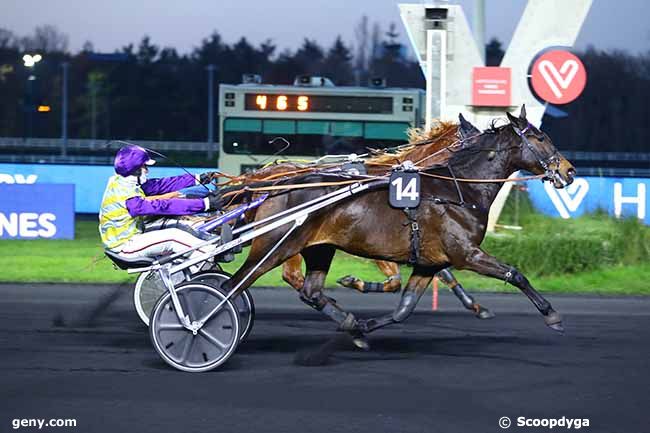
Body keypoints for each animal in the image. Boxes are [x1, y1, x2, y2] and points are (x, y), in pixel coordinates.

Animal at [223, 106, 572, 350]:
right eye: (540, 137)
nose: (568, 170)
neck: (456, 188)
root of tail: (271, 185)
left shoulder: (431, 261)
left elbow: (405, 307)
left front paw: (361, 326)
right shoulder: (466, 254)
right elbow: (514, 274)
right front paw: (552, 315)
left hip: (319, 248)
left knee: (309, 291)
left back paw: (346, 320)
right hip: (276, 246)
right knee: (235, 285)